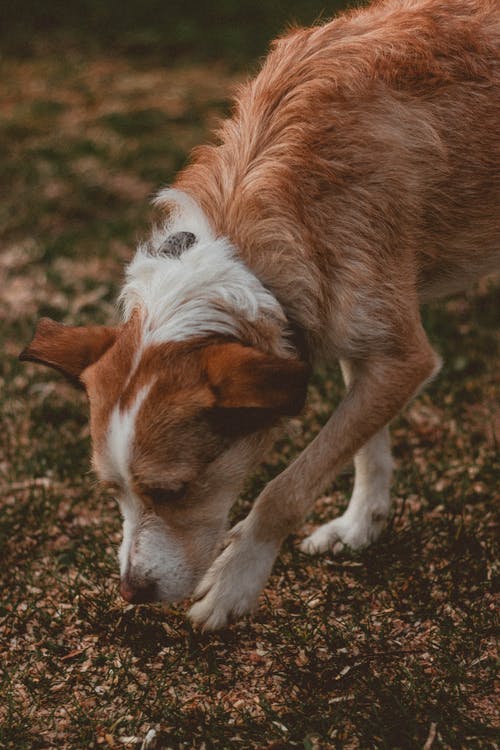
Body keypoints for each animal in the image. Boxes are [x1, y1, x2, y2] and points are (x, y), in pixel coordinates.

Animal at [22, 0, 500, 632]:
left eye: (173, 491)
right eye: (112, 490)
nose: (131, 592)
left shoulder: (404, 359)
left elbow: (286, 487)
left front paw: (235, 581)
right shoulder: (355, 336)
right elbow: (363, 444)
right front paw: (360, 524)